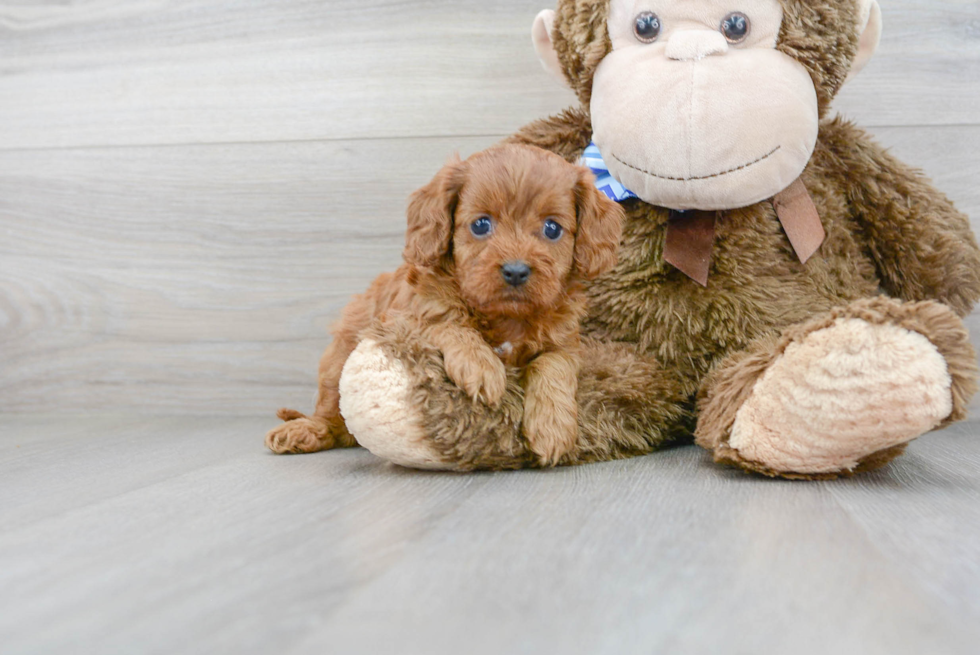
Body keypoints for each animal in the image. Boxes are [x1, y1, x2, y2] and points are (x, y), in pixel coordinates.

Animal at [264, 145, 624, 466]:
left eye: (552, 228)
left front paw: (552, 428)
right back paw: (305, 430)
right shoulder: (401, 319)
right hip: (338, 358)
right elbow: (445, 322)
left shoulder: (566, 343)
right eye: (481, 224)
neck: (505, 316)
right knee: (333, 417)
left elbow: (552, 365)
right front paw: (481, 366)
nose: (516, 270)